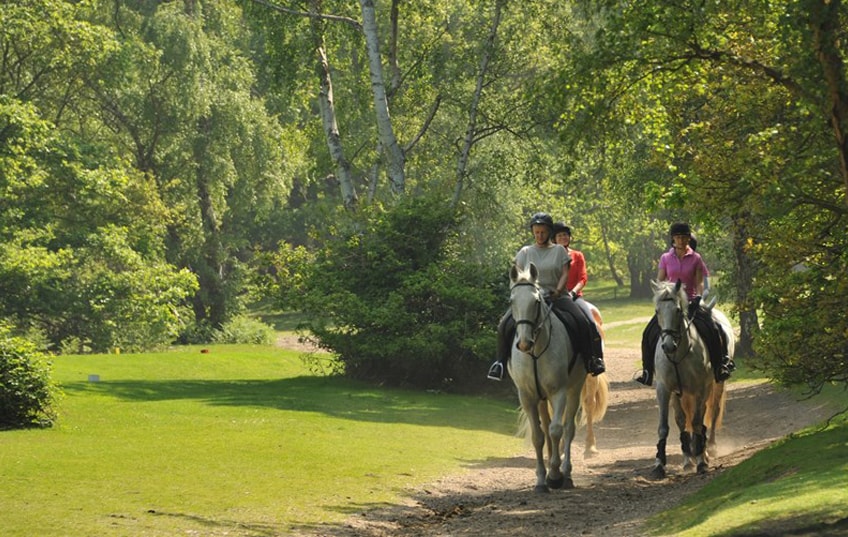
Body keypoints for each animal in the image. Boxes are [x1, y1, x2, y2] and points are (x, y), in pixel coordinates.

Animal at [507, 262, 587, 492]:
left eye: (535, 301)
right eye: (511, 301)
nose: (524, 343)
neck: (536, 351)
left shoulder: (558, 392)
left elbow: (556, 430)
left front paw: (554, 475)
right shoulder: (527, 396)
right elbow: (538, 436)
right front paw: (541, 479)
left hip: (574, 388)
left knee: (568, 428)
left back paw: (566, 474)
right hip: (541, 398)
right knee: (546, 425)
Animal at [650, 280, 732, 479]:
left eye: (678, 310)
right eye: (657, 310)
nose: (668, 346)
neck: (679, 354)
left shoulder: (701, 389)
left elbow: (696, 422)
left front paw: (701, 461)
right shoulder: (665, 389)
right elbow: (669, 425)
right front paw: (661, 464)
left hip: (716, 385)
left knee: (712, 413)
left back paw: (708, 448)